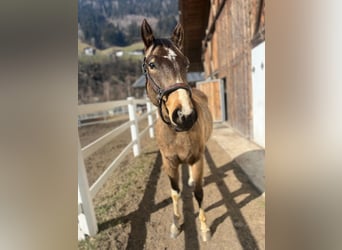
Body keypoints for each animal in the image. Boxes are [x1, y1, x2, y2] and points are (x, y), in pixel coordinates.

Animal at [140, 18, 212, 241]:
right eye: (152, 65)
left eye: (185, 63)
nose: (185, 115)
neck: (177, 133)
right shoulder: (169, 162)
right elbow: (174, 193)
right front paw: (175, 225)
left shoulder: (197, 159)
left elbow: (199, 192)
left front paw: (204, 228)